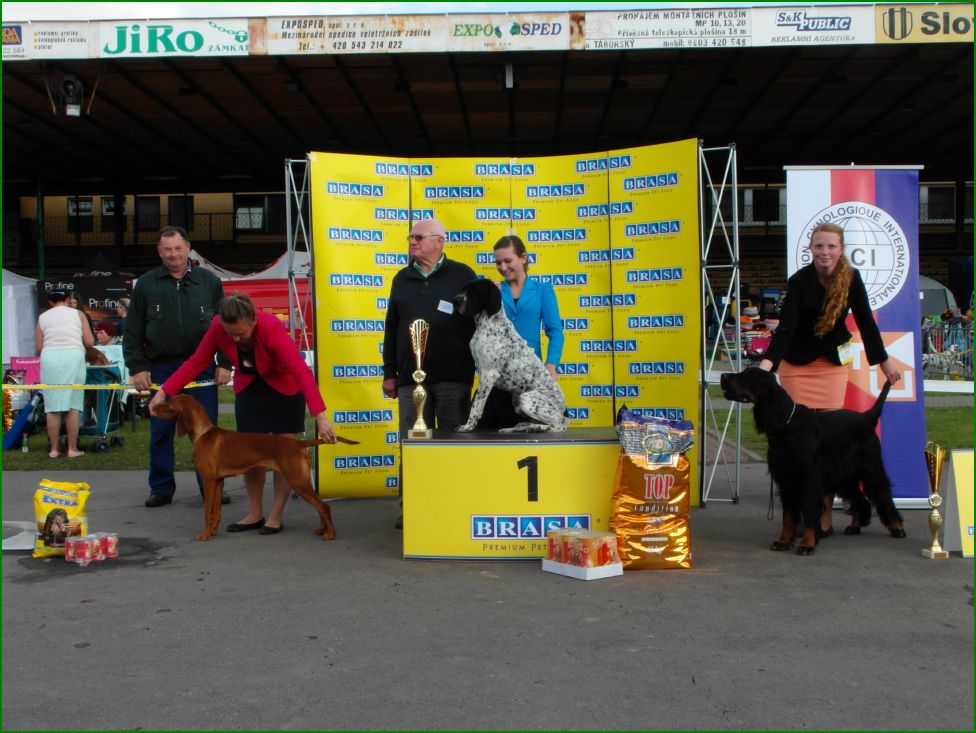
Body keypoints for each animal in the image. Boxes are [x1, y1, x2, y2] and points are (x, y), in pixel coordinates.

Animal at [156, 394, 358, 544]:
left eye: (169, 404)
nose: (155, 406)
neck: (203, 434)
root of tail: (299, 443)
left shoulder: (208, 480)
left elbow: (207, 511)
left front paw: (204, 535)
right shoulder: (218, 481)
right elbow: (216, 511)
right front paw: (213, 531)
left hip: (297, 481)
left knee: (324, 505)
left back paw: (330, 533)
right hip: (301, 480)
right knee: (320, 505)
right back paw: (322, 529)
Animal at [720, 366, 904, 556]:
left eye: (750, 375)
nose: (723, 376)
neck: (786, 424)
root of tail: (866, 417)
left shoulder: (807, 480)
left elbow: (808, 514)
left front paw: (807, 544)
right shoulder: (786, 480)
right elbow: (788, 517)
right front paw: (783, 541)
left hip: (871, 469)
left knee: (883, 494)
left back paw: (897, 528)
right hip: (845, 477)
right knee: (862, 499)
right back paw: (855, 526)